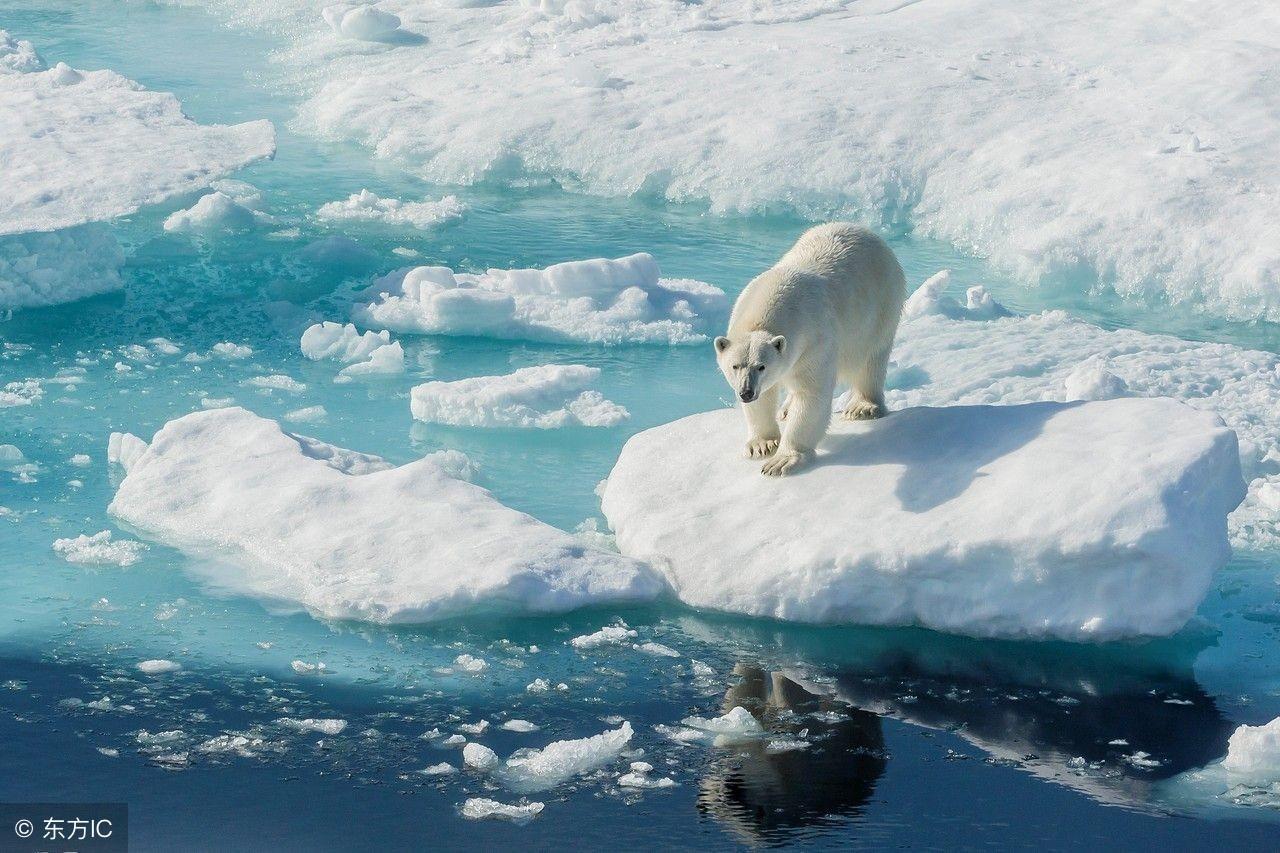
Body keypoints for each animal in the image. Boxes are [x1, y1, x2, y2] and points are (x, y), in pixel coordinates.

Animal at [711, 222, 911, 473]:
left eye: (761, 366)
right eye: (735, 366)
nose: (746, 393)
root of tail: (868, 233)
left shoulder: (814, 341)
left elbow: (811, 395)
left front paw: (782, 461)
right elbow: (765, 397)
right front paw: (762, 445)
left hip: (881, 307)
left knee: (871, 360)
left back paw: (863, 407)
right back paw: (786, 409)